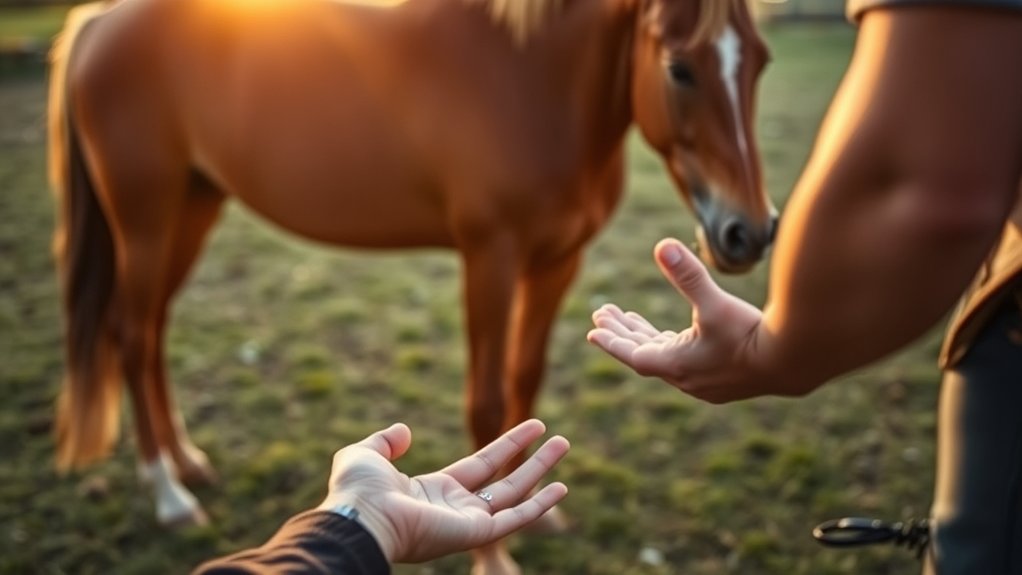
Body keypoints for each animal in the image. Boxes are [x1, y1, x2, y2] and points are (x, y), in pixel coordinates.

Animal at [48, 0, 774, 571]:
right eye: (680, 68)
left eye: (760, 62)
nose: (751, 232)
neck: (531, 84)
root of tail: (99, 23)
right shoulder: (490, 257)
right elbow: (487, 401)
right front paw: (493, 554)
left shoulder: (555, 263)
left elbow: (524, 381)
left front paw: (535, 515)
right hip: (145, 218)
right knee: (130, 335)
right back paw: (170, 495)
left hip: (192, 207)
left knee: (151, 334)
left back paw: (188, 462)